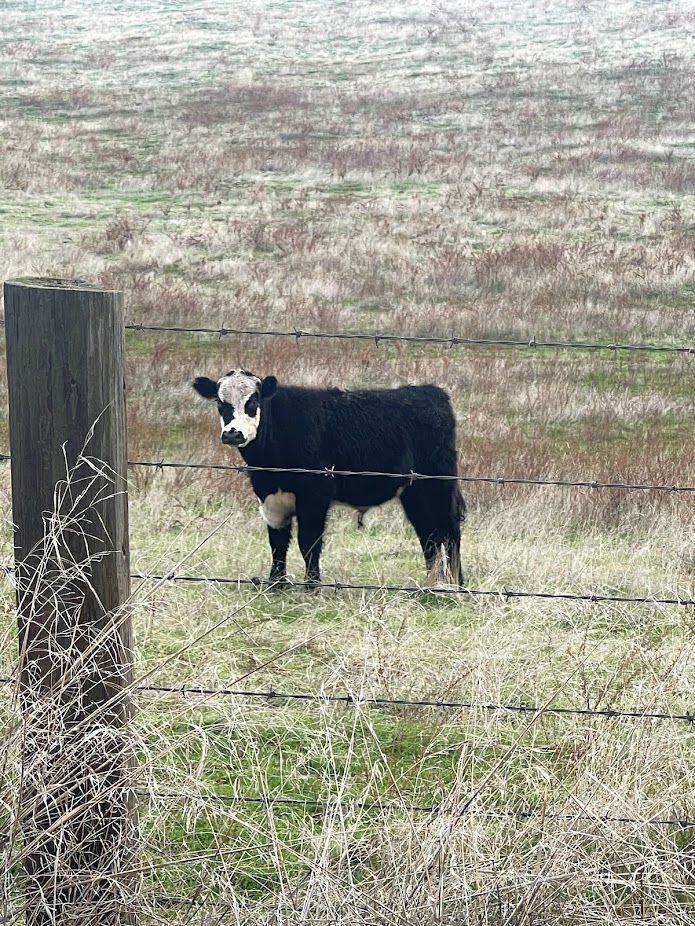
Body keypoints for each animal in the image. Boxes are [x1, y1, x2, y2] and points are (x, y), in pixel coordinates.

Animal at [192, 370, 465, 590]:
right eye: (219, 401)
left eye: (254, 400)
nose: (233, 434)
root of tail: (430, 391)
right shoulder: (269, 499)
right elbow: (277, 542)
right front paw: (275, 584)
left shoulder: (315, 496)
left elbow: (308, 542)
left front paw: (312, 587)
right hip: (413, 492)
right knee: (428, 534)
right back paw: (430, 584)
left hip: (438, 484)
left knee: (449, 530)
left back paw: (456, 584)